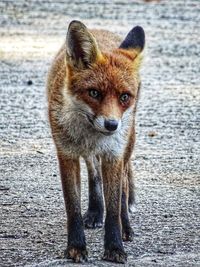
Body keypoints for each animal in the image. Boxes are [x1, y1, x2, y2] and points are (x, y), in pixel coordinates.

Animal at [47, 20, 145, 264]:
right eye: (94, 93)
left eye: (124, 97)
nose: (111, 125)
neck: (91, 135)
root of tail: (101, 30)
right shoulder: (67, 153)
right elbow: (72, 207)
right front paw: (76, 247)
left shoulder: (113, 154)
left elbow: (114, 208)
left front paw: (115, 247)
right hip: (89, 154)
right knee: (94, 174)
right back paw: (94, 211)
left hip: (127, 145)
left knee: (123, 188)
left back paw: (126, 227)